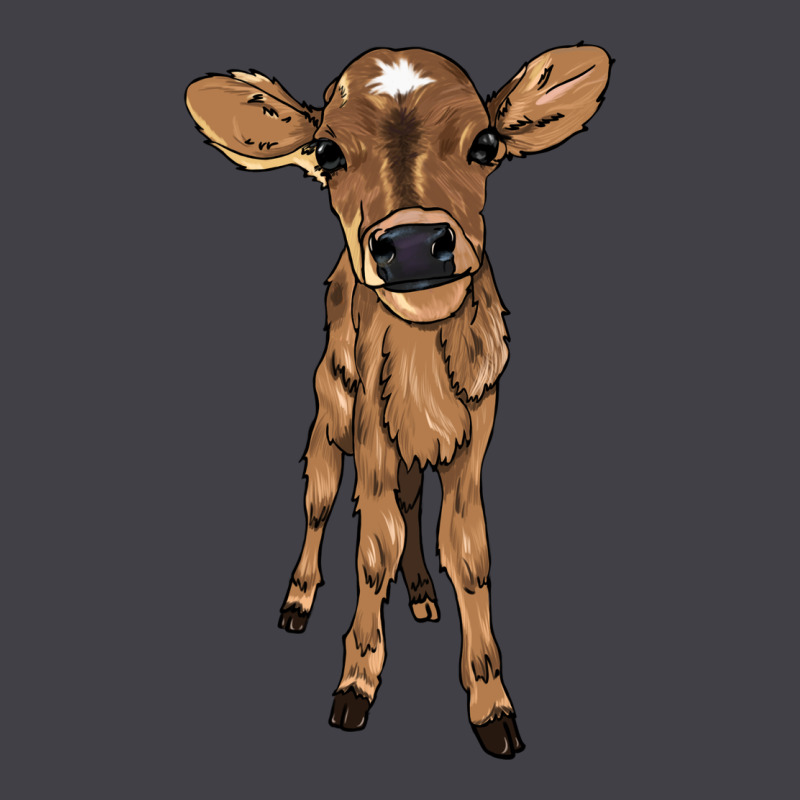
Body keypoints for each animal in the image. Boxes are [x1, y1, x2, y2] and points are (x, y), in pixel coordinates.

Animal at [185, 44, 611, 758]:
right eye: (328, 152)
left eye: (486, 144)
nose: (412, 245)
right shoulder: (371, 438)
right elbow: (371, 550)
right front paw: (356, 684)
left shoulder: (472, 443)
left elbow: (468, 554)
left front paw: (491, 704)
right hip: (331, 410)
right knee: (321, 498)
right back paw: (299, 601)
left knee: (413, 504)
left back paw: (419, 593)